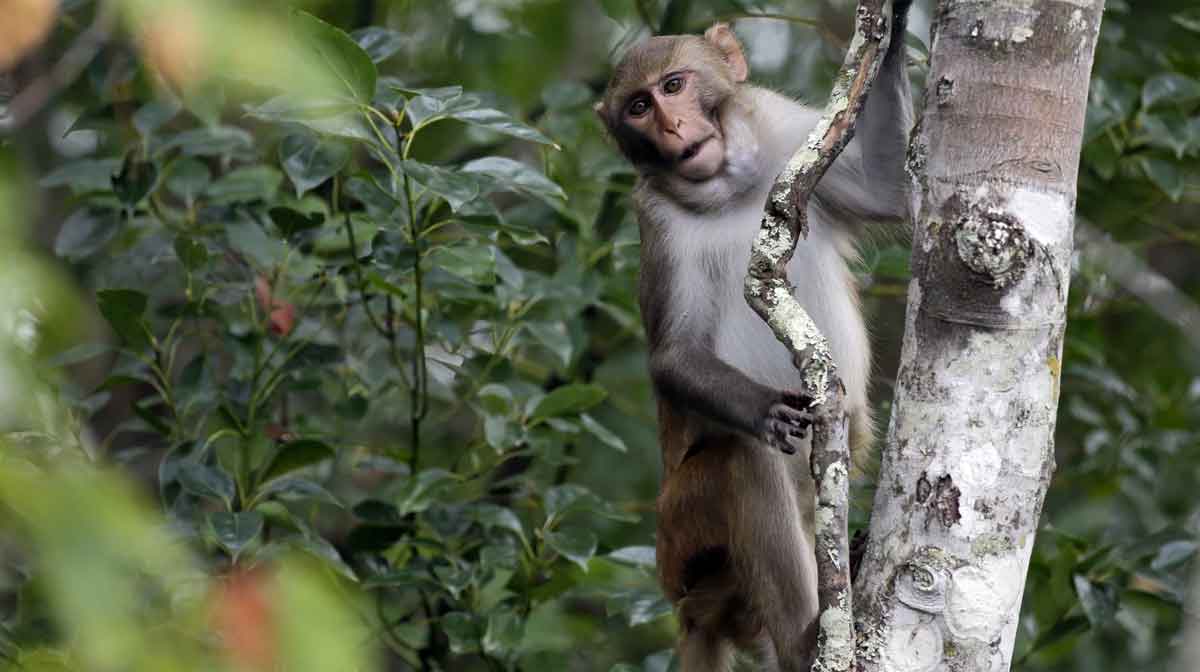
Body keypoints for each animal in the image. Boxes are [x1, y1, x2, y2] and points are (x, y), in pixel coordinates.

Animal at [595, 5, 912, 671]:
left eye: (673, 85)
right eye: (638, 107)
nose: (671, 125)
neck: (728, 189)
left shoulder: (785, 130)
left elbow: (886, 189)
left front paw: (895, 26)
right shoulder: (655, 220)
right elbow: (674, 354)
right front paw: (765, 409)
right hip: (683, 535)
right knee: (743, 462)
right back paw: (803, 640)